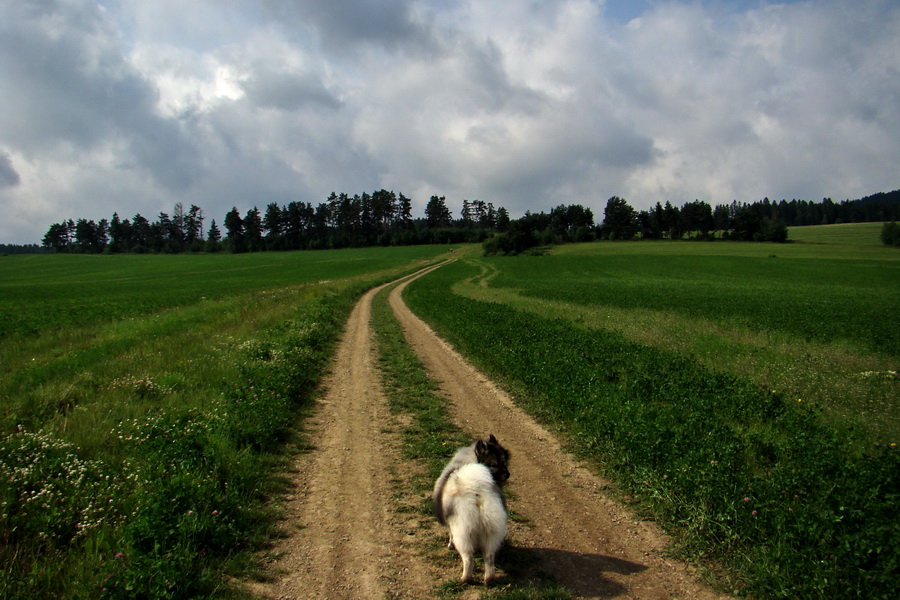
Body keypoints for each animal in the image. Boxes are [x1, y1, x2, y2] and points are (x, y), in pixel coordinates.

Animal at [432, 434, 510, 584]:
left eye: (503, 462)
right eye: (494, 464)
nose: (507, 474)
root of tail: (477, 492)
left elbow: (450, 534)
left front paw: (450, 545)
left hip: (463, 532)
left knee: (468, 558)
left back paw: (466, 578)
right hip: (491, 531)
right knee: (489, 558)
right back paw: (489, 579)